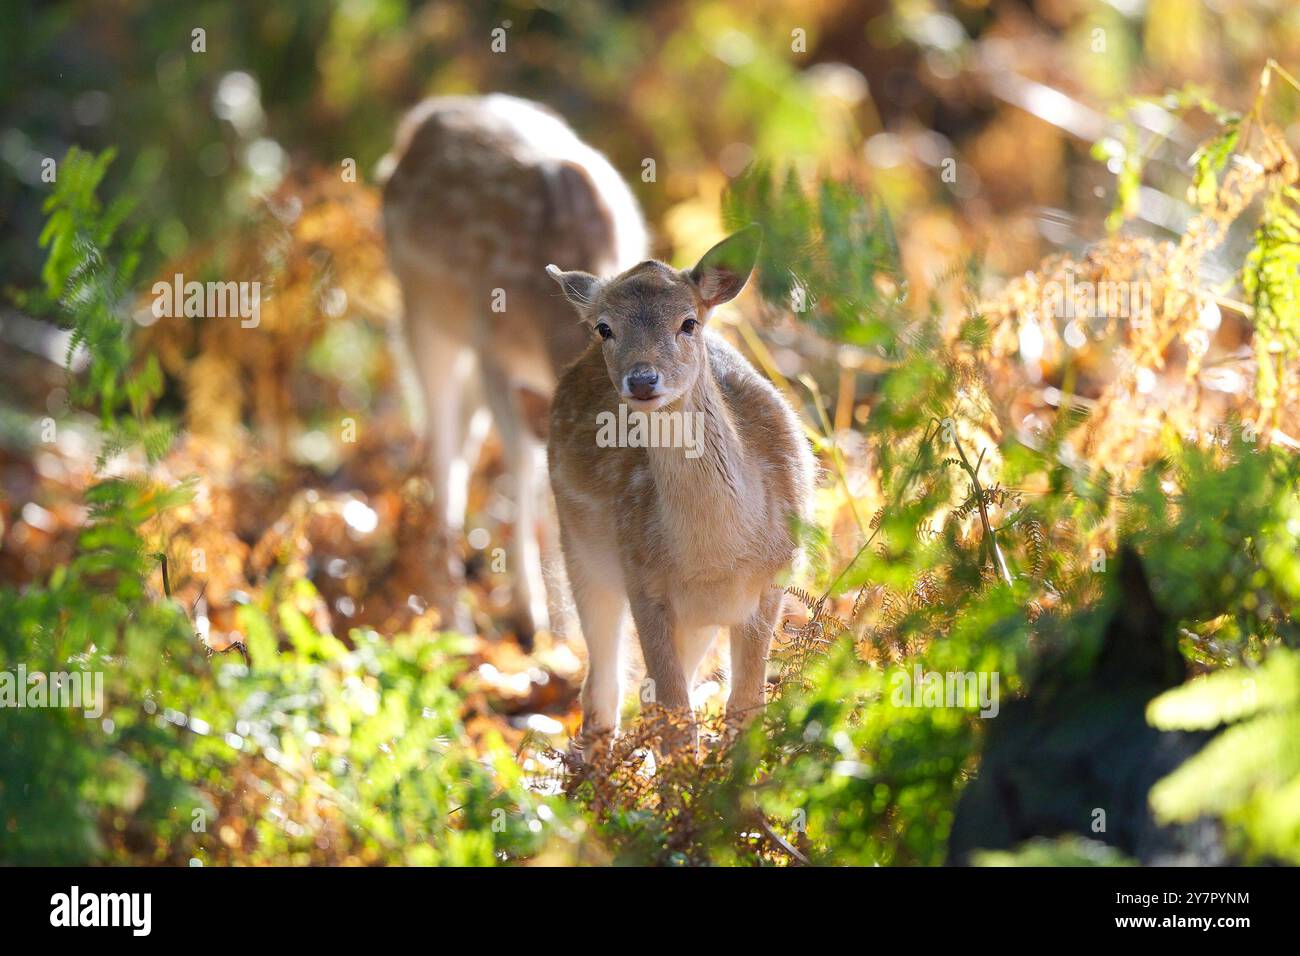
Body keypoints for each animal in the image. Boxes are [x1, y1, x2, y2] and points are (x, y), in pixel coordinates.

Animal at [381, 94, 648, 638]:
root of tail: (419, 120)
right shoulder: (492, 352)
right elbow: (525, 465)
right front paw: (537, 621)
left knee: (459, 446)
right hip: (423, 314)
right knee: (442, 444)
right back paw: (453, 614)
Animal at [546, 225, 816, 758]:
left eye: (688, 322)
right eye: (604, 328)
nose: (643, 378)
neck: (719, 556)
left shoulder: (773, 581)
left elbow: (744, 706)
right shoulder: (642, 579)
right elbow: (675, 717)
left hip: (696, 619)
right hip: (579, 549)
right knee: (604, 685)